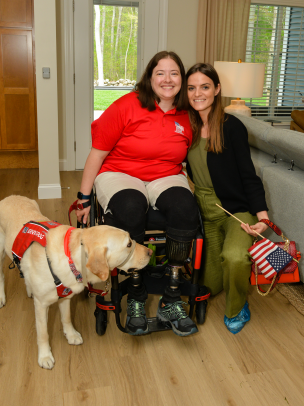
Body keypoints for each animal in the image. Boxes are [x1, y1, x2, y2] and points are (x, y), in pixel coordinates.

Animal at [0, 195, 152, 370]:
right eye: (128, 244)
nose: (150, 252)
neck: (71, 258)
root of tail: (10, 197)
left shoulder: (65, 296)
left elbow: (66, 317)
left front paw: (71, 334)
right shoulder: (41, 305)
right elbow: (43, 333)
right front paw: (45, 356)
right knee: (1, 275)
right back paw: (2, 298)